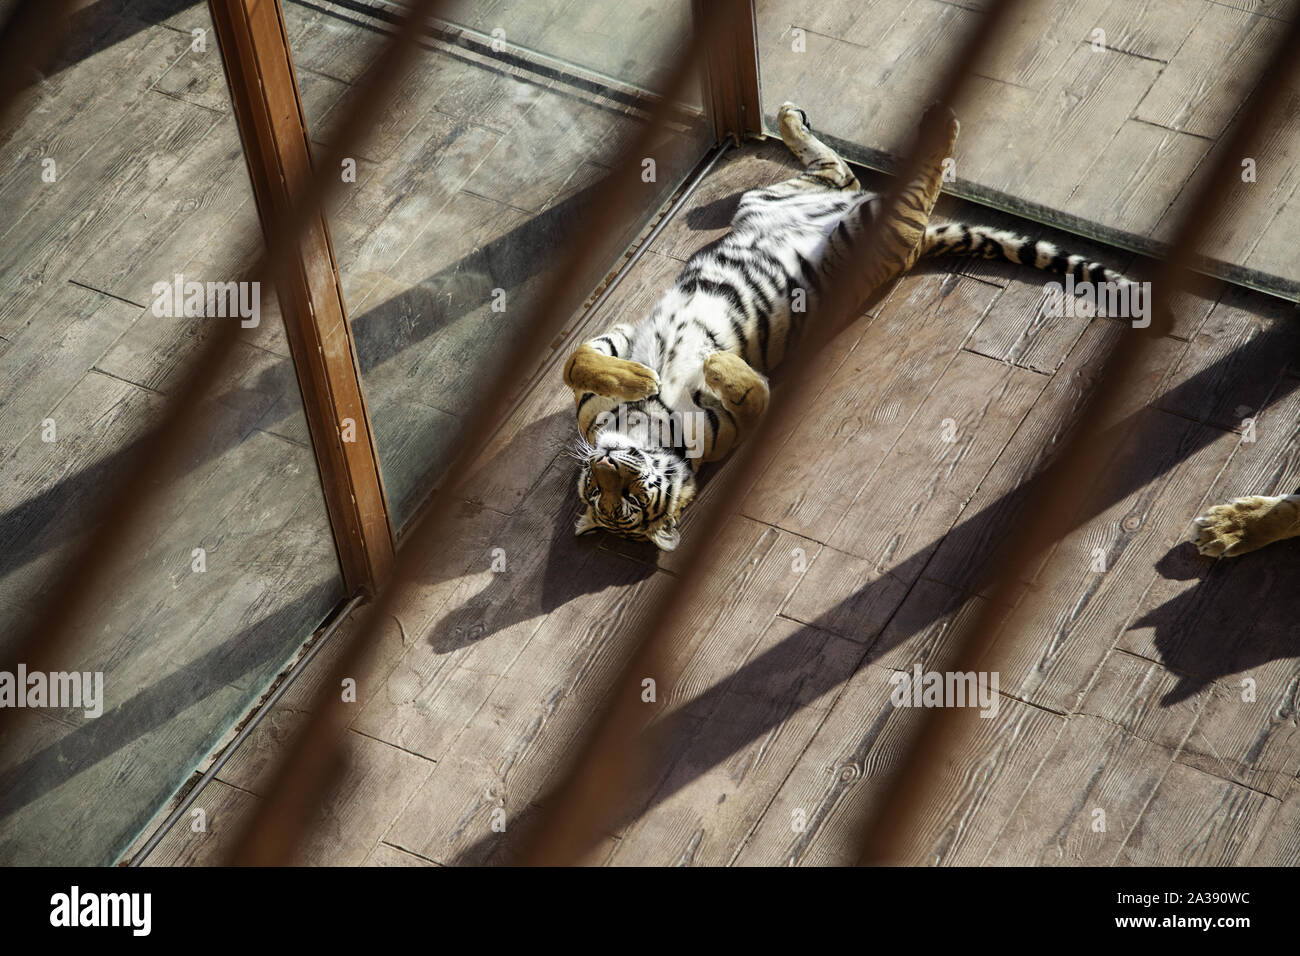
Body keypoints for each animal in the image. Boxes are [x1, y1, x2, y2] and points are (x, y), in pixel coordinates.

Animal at [564, 100, 1133, 548]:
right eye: (607, 497)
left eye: (627, 494)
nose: (604, 463)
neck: (642, 429)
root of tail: (917, 246)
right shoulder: (724, 421)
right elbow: (754, 394)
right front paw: (700, 366)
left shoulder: (616, 351)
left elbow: (577, 362)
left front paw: (655, 374)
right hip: (856, 225)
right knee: (872, 181)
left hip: (803, 210)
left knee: (855, 174)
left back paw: (819, 118)